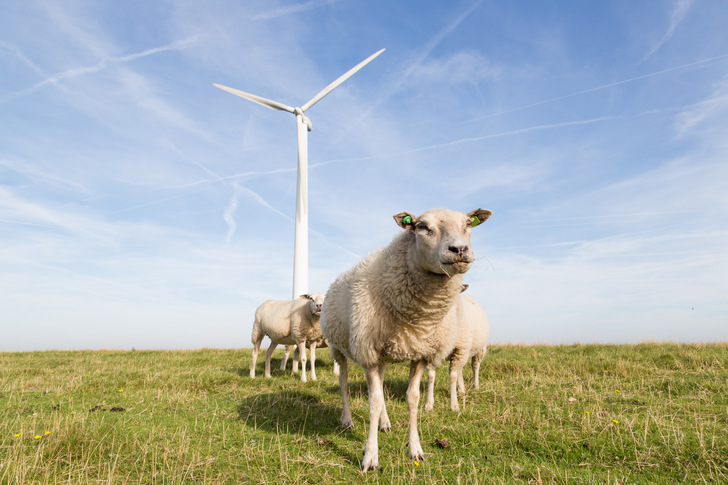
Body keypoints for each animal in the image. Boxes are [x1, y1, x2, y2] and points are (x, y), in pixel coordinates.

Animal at [320, 207, 492, 471]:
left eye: (468, 224)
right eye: (422, 227)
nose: (459, 250)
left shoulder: (420, 353)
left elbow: (412, 399)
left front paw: (415, 449)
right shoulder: (368, 353)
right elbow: (373, 402)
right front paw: (370, 457)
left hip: (383, 358)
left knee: (380, 385)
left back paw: (385, 423)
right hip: (338, 348)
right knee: (344, 382)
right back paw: (347, 420)